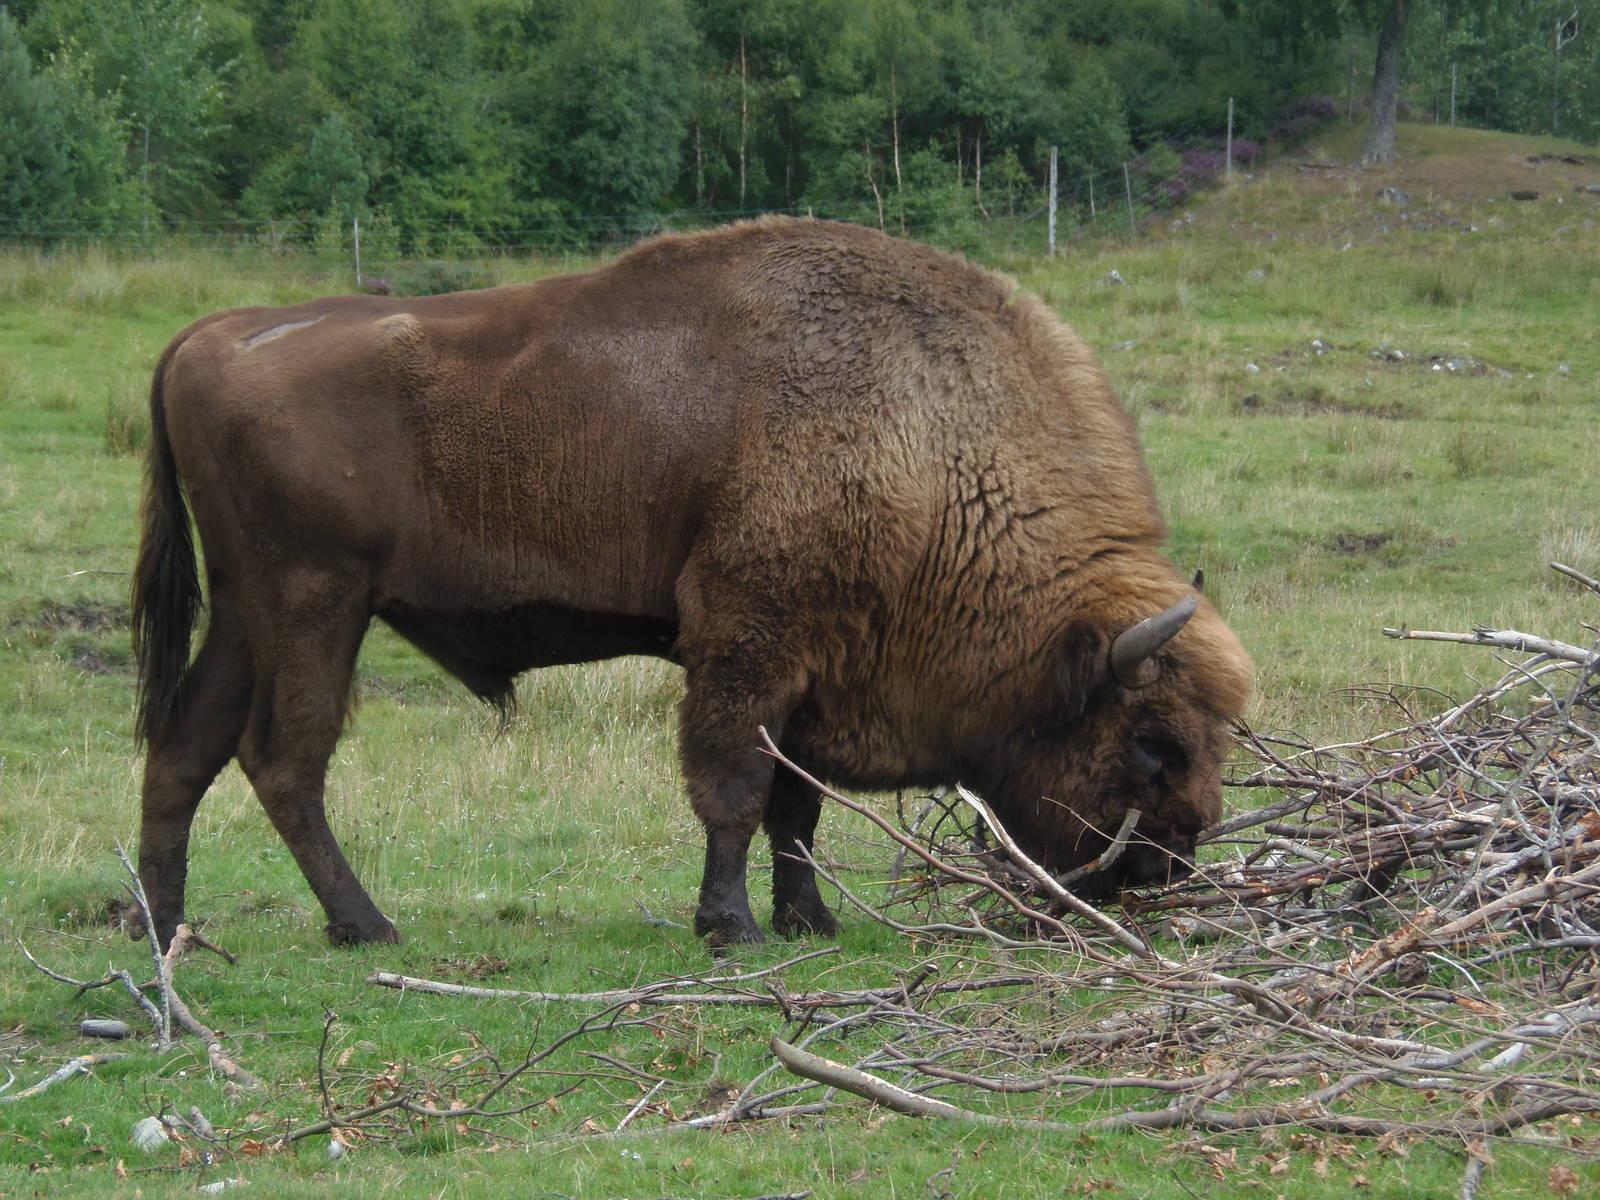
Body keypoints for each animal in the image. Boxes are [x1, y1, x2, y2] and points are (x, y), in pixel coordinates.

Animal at [132, 216, 1251, 950]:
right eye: (1153, 743)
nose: (1167, 865)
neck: (927, 432)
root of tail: (206, 334)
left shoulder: (812, 671)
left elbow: (795, 808)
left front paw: (809, 920)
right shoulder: (747, 644)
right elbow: (735, 789)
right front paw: (732, 926)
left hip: (246, 611)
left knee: (184, 748)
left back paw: (165, 924)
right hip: (316, 602)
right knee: (284, 759)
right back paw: (365, 925)